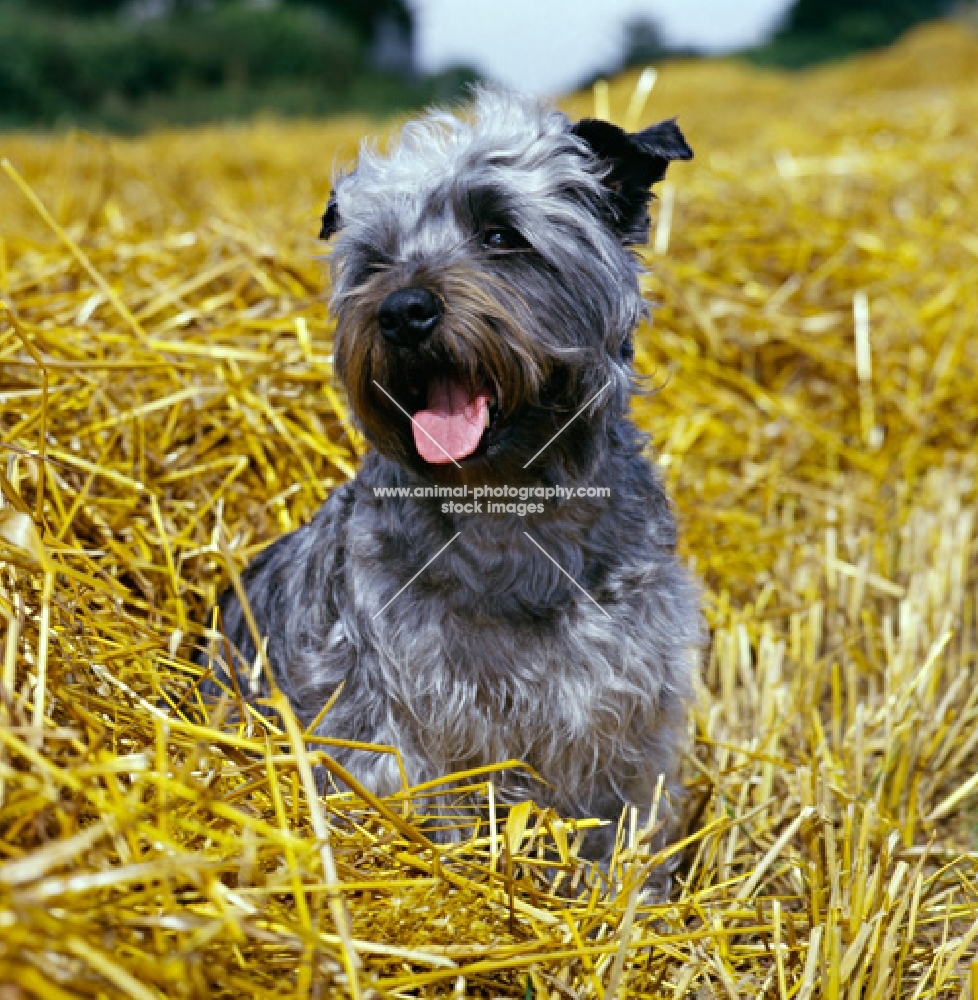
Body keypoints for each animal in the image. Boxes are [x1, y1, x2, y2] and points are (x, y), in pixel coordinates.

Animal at [206, 88, 696, 868]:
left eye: (500, 234)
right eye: (375, 260)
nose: (403, 312)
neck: (510, 510)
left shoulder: (627, 723)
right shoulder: (408, 730)